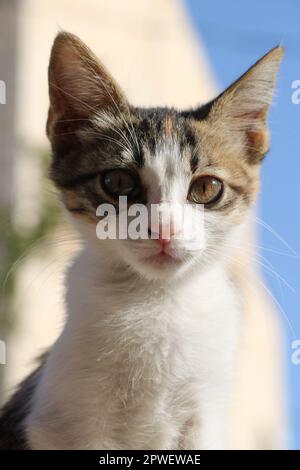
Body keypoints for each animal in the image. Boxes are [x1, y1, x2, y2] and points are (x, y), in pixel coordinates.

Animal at [0, 33, 284, 452]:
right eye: (118, 182)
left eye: (206, 188)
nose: (164, 229)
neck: (157, 300)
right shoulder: (65, 421)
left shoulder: (205, 415)